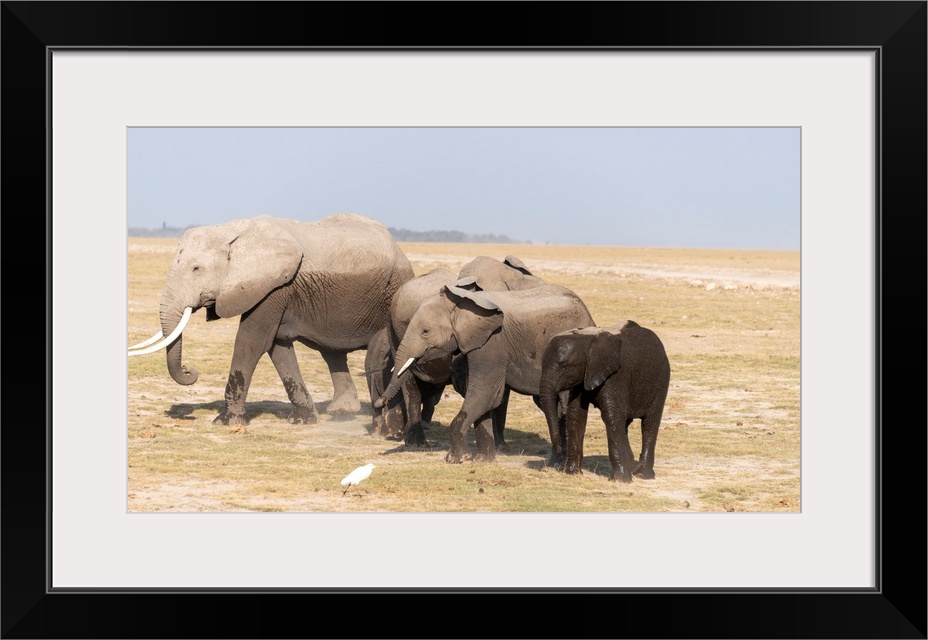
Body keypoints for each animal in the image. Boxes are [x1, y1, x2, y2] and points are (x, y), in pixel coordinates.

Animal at [127, 212, 414, 428]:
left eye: (196, 269)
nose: (189, 370)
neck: (231, 231)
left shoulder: (274, 287)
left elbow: (251, 343)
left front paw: (226, 422)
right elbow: (277, 348)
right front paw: (303, 420)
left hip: (395, 292)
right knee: (331, 353)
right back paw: (342, 413)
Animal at [372, 282, 596, 462]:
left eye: (425, 331)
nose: (379, 402)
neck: (464, 302)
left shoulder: (491, 345)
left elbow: (483, 394)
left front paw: (457, 459)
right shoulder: (474, 345)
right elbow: (488, 399)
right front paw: (483, 460)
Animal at [540, 322, 672, 482]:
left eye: (565, 367)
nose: (558, 449)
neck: (588, 337)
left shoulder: (616, 375)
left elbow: (611, 416)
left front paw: (620, 480)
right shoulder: (582, 377)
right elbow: (576, 416)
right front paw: (572, 473)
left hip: (661, 379)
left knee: (650, 423)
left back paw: (642, 475)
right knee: (625, 423)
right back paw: (632, 468)